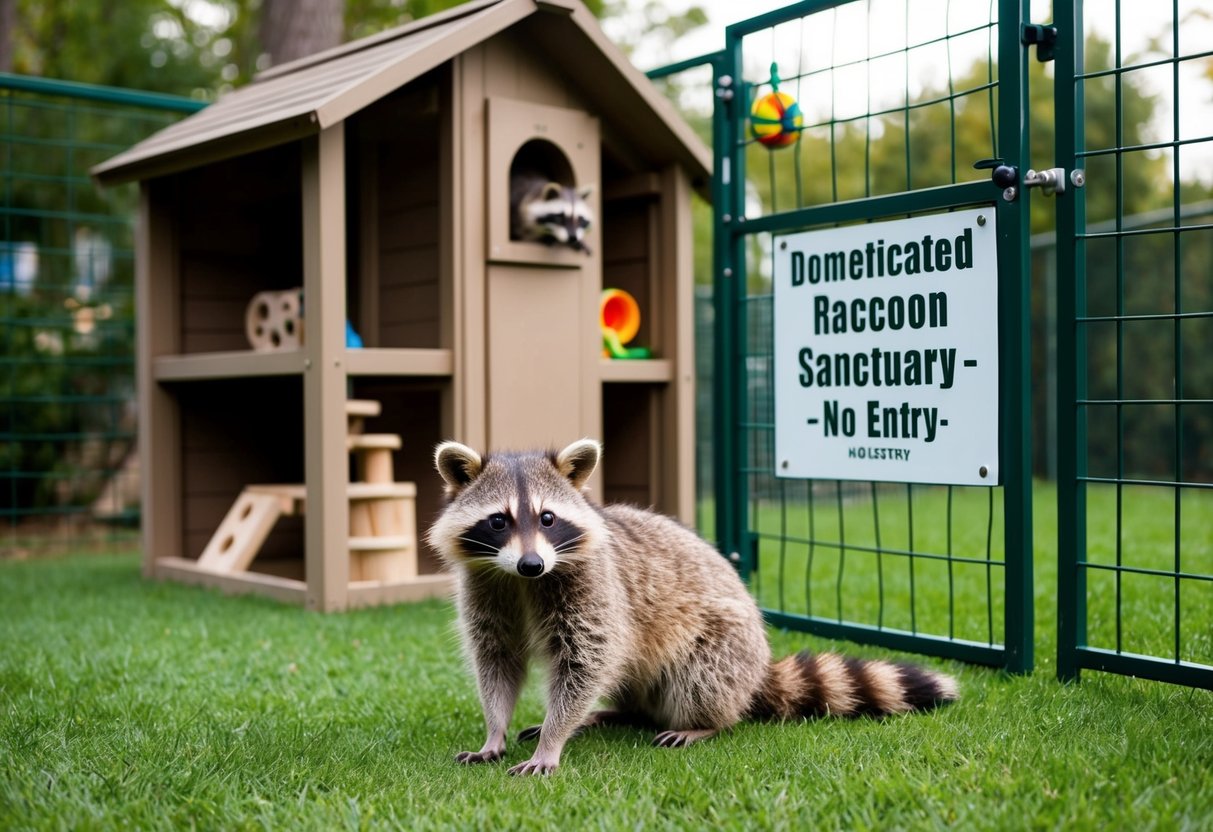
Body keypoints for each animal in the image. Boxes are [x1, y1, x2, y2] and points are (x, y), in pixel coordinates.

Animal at [427, 439, 959, 776]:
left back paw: (703, 723)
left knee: (699, 677)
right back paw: (619, 713)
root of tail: (757, 670)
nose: (533, 563)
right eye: (499, 521)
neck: (521, 581)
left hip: (726, 643)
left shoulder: (594, 589)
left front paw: (553, 740)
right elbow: (497, 661)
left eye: (548, 518)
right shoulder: (488, 587)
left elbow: (588, 659)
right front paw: (494, 730)